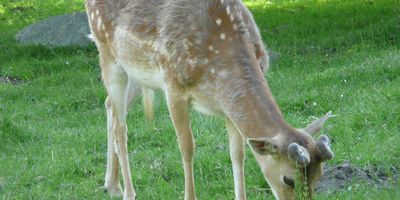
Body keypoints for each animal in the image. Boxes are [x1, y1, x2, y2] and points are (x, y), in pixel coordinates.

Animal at [85, 0, 334, 200]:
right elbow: (187, 148)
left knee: (109, 106)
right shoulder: (173, 87)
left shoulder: (228, 107)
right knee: (121, 127)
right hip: (107, 52)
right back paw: (127, 192)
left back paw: (111, 185)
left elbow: (238, 154)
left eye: (319, 176)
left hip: (138, 71)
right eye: (288, 179)